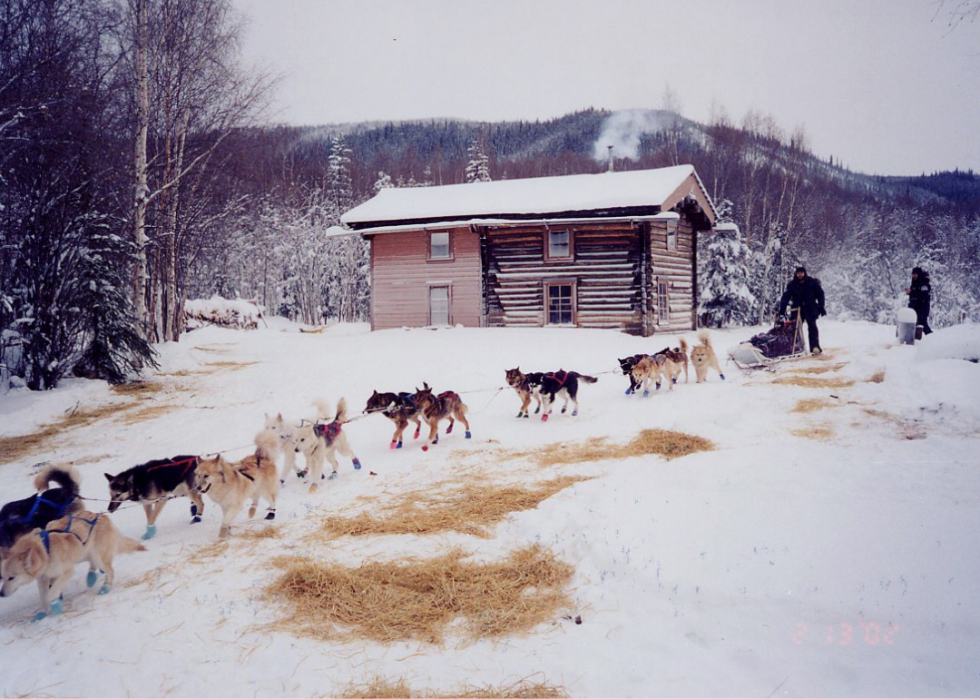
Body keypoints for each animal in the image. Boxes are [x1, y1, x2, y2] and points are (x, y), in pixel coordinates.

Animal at [0, 512, 145, 620]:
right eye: (3, 577)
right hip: (84, 552)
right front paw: (43, 612)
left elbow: (51, 593)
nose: (1, 594)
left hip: (97, 556)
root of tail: (103, 516)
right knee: (93, 565)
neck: (45, 550)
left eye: (11, 578)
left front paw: (55, 605)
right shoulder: (43, 579)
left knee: (110, 570)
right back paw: (91, 577)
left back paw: (105, 588)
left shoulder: (67, 572)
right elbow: (43, 597)